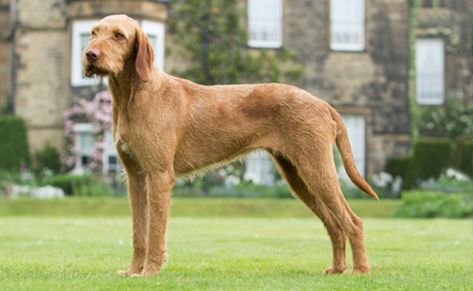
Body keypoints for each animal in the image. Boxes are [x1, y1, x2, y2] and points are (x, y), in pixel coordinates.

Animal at [84, 14, 380, 278]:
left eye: (119, 36)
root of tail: (323, 103)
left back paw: (360, 270)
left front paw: (149, 273)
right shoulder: (135, 177)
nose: (89, 55)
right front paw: (133, 271)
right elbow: (139, 232)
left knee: (352, 221)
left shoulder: (159, 176)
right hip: (298, 177)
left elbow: (155, 231)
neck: (135, 95)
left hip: (317, 169)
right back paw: (338, 268)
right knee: (334, 225)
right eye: (93, 33)